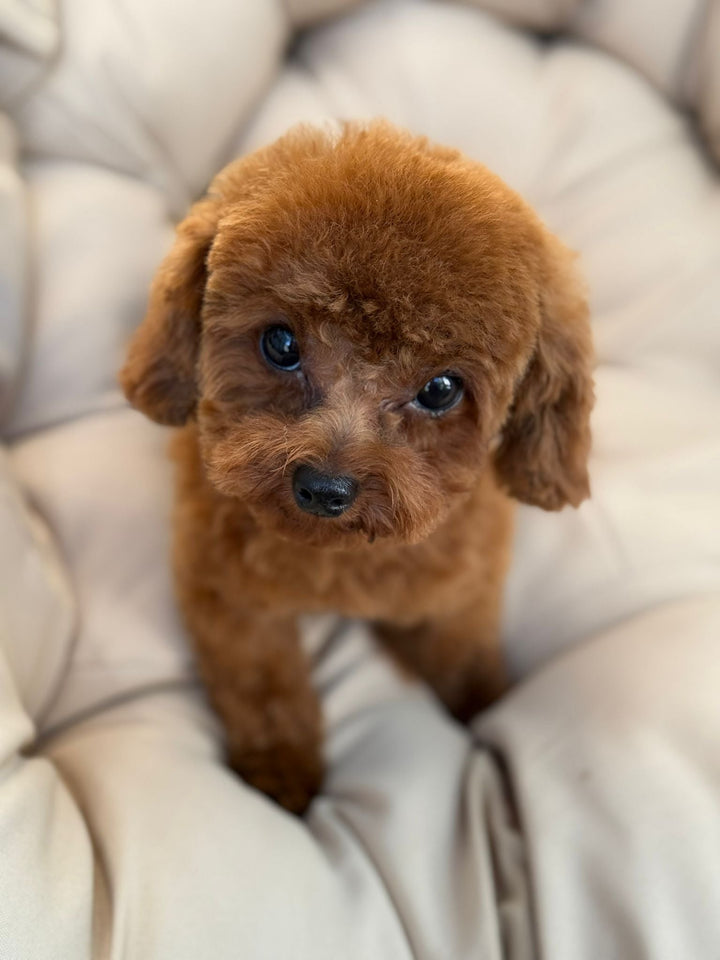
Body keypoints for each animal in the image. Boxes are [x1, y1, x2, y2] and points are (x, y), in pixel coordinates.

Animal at [121, 118, 592, 808]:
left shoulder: (463, 591)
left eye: (441, 389)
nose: (324, 488)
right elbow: (262, 683)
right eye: (280, 343)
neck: (341, 560)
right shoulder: (225, 591)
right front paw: (281, 775)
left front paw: (486, 707)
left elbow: (464, 657)